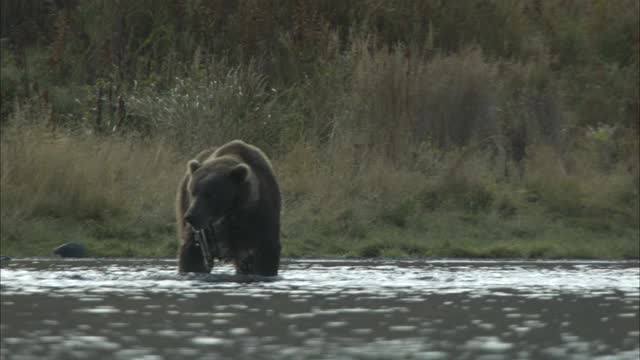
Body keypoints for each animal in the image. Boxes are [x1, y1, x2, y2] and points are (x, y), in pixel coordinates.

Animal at [178, 140, 282, 276]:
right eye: (193, 192)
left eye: (210, 194)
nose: (191, 216)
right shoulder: (204, 232)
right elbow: (193, 254)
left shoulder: (260, 215)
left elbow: (266, 251)